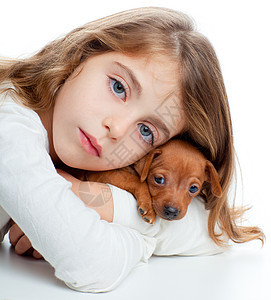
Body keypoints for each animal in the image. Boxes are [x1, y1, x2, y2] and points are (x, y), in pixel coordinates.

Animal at [85, 139, 223, 224]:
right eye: (158, 179)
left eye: (193, 188)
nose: (171, 211)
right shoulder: (99, 173)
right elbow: (135, 179)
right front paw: (148, 206)